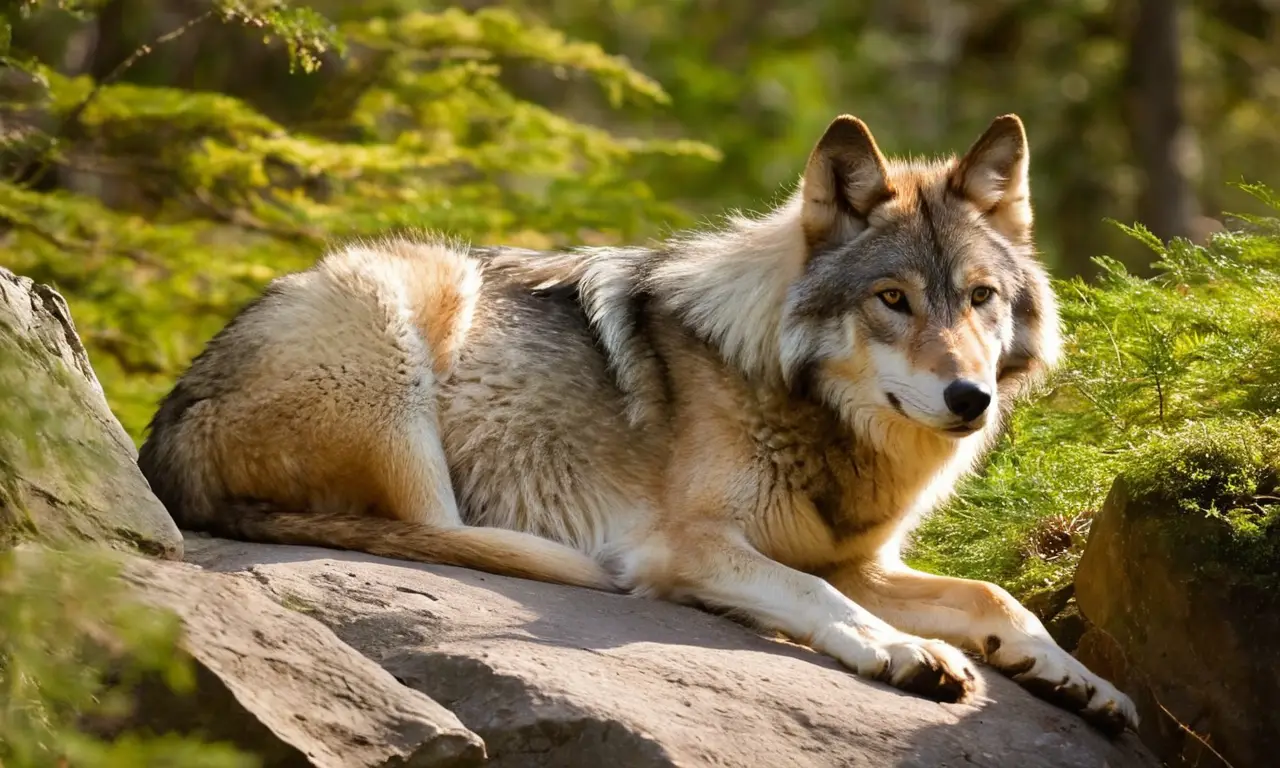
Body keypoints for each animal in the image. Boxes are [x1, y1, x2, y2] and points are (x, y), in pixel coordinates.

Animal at [138, 113, 1137, 734]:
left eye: (980, 298)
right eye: (892, 300)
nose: (969, 397)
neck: (798, 401)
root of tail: (164, 440)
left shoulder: (857, 558)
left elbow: (991, 596)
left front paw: (1079, 679)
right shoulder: (698, 545)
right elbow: (822, 601)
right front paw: (903, 652)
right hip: (403, 303)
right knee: (434, 532)